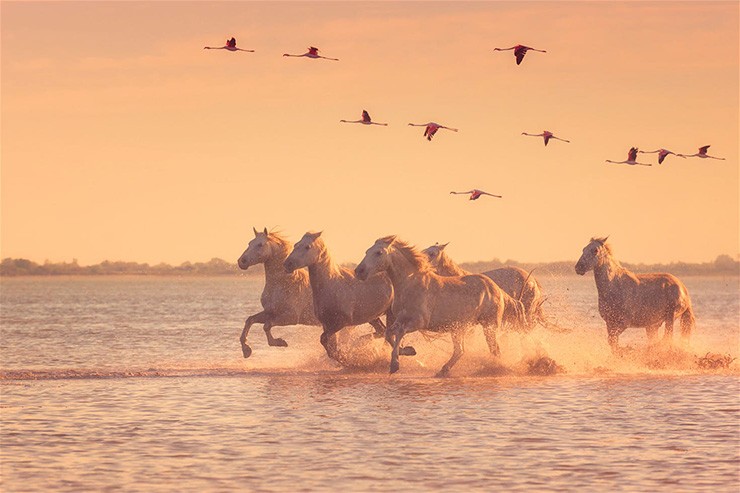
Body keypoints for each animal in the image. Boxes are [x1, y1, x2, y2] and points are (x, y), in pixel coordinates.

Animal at [237, 227, 318, 358]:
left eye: (260, 244)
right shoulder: (270, 312)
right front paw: (246, 350)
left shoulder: (291, 317)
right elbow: (250, 320)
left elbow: (266, 326)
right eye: (249, 243)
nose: (241, 261)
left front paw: (279, 342)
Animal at [284, 231, 414, 362]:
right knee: (382, 331)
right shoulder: (326, 324)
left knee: (389, 334)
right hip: (373, 317)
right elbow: (330, 345)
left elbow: (325, 340)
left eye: (307, 246)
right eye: (296, 244)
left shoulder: (342, 322)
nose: (287, 264)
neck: (331, 284)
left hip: (390, 313)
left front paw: (345, 358)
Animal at [356, 236, 512, 374]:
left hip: (488, 326)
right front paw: (408, 351)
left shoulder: (419, 322)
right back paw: (443, 370)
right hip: (458, 328)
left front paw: (395, 364)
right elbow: (388, 333)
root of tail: (497, 289)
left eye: (378, 252)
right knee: (460, 350)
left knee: (494, 350)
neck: (409, 284)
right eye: (367, 251)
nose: (359, 271)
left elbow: (399, 332)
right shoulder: (399, 318)